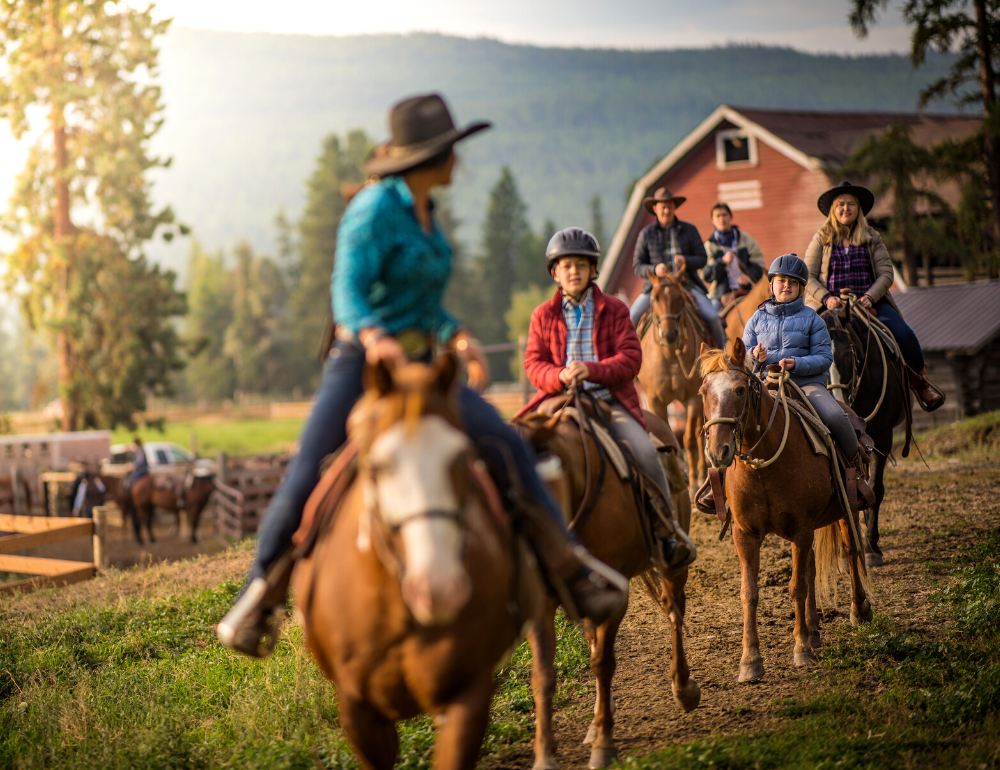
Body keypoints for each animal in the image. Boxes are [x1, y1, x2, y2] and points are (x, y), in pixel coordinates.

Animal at [516, 402, 704, 768]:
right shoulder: (545, 605)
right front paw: (545, 753)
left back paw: (683, 688)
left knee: (674, 610)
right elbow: (543, 676)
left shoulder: (618, 595)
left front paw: (604, 742)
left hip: (673, 564)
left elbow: (603, 662)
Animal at [640, 270, 712, 486]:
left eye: (679, 297)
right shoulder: (655, 400)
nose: (670, 334)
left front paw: (694, 480)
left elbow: (689, 438)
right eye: (654, 298)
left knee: (697, 433)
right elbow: (668, 433)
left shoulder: (693, 399)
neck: (671, 356)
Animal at [700, 340, 872, 680]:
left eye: (740, 390)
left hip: (845, 510)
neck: (764, 468)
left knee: (850, 551)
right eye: (703, 392)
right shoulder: (745, 535)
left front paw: (801, 649)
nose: (717, 452)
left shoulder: (801, 529)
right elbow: (750, 593)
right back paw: (815, 631)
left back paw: (858, 610)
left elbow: (796, 588)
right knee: (812, 567)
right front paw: (750, 661)